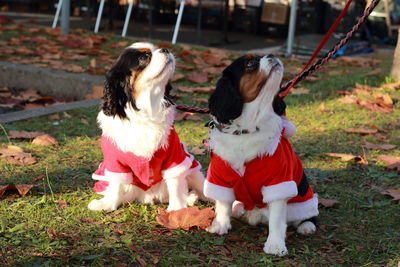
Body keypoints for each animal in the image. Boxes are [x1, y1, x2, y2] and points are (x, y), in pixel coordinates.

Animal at [88, 43, 205, 213]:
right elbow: (116, 185)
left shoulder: (174, 158)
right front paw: (108, 204)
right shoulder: (115, 162)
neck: (147, 107)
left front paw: (176, 210)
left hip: (193, 171)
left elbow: (176, 185)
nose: (165, 49)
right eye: (144, 57)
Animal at [203, 54, 318, 258]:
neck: (248, 129)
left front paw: (275, 245)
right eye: (250, 63)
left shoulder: (278, 181)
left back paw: (307, 226)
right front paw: (219, 225)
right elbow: (223, 203)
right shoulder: (220, 176)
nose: (272, 55)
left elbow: (277, 220)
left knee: (309, 215)